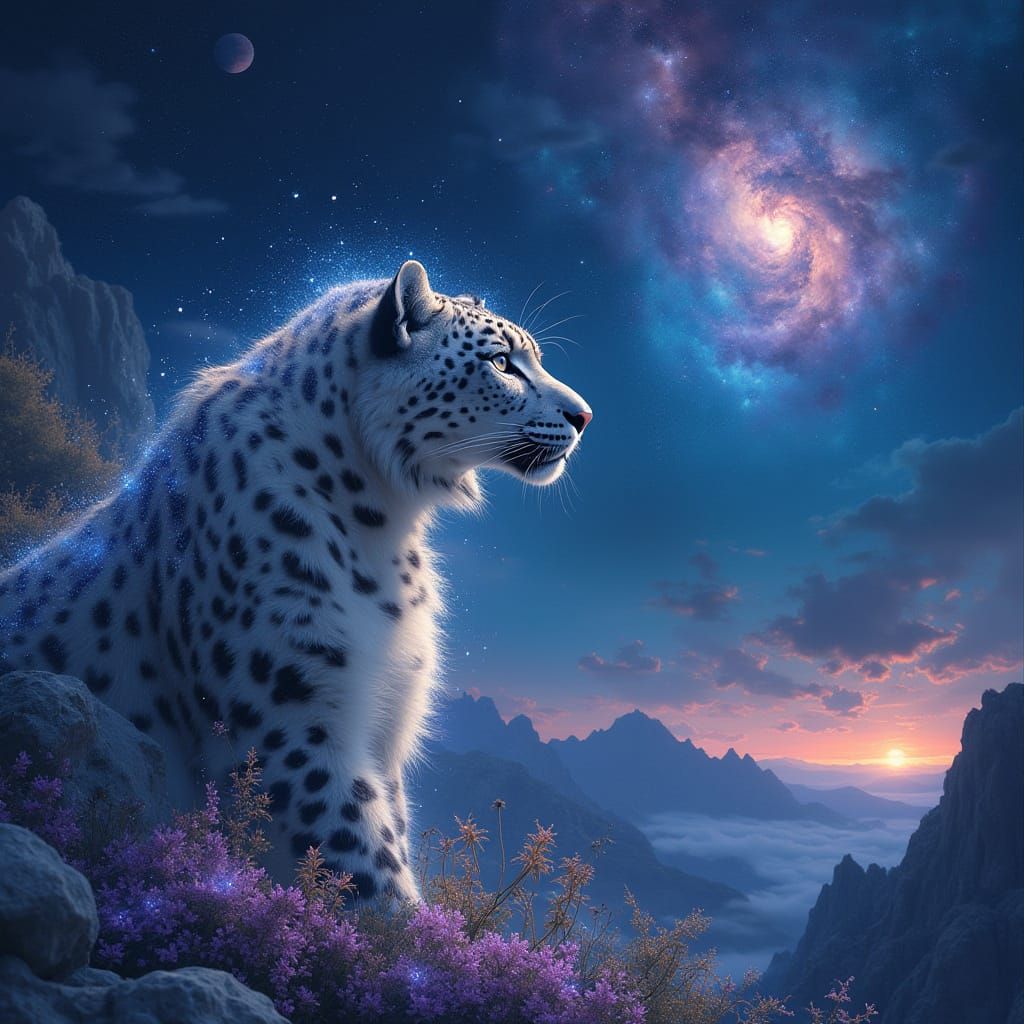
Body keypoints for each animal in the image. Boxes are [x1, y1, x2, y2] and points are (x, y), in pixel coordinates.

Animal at [0, 260, 592, 902]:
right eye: (501, 361)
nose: (584, 416)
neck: (385, 528)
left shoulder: (381, 727)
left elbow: (389, 836)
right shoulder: (291, 725)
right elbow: (367, 871)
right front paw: (417, 929)